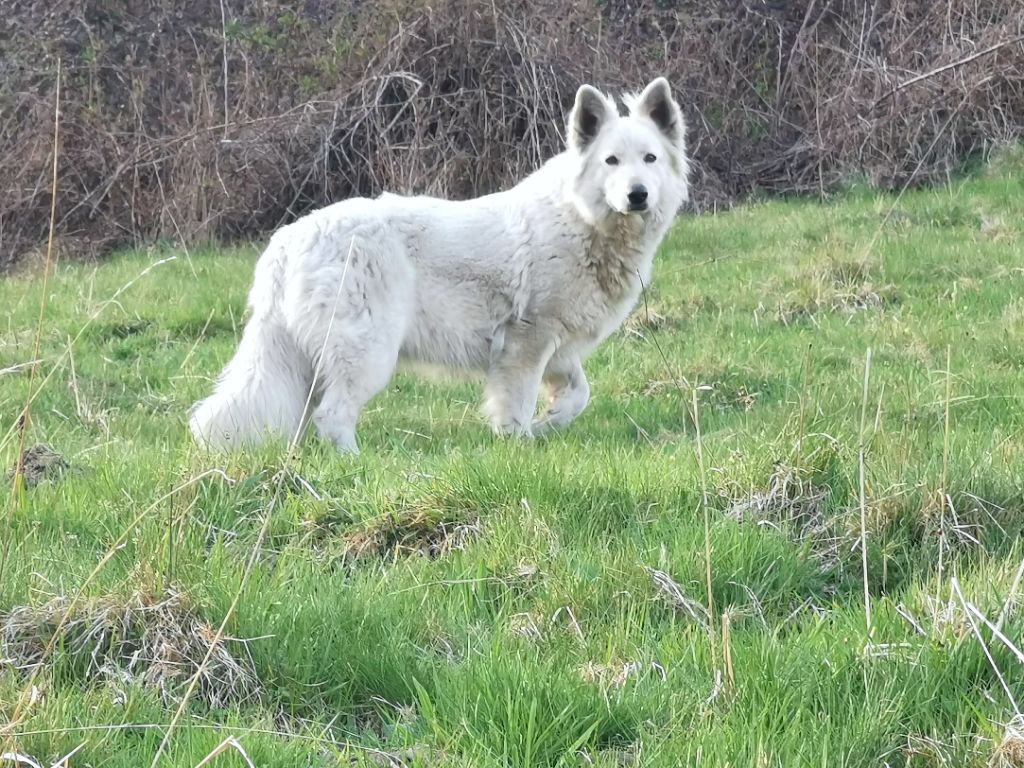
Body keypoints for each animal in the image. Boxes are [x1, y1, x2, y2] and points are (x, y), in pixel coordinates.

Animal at [189, 76, 692, 450]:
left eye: (649, 159)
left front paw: (549, 424)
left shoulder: (559, 350)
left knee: (306, 418)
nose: (638, 195)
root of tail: (289, 241)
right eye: (611, 161)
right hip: (367, 352)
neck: (583, 221)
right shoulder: (526, 344)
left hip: (310, 363)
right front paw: (520, 443)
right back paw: (357, 466)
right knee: (333, 418)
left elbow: (579, 395)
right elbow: (517, 405)